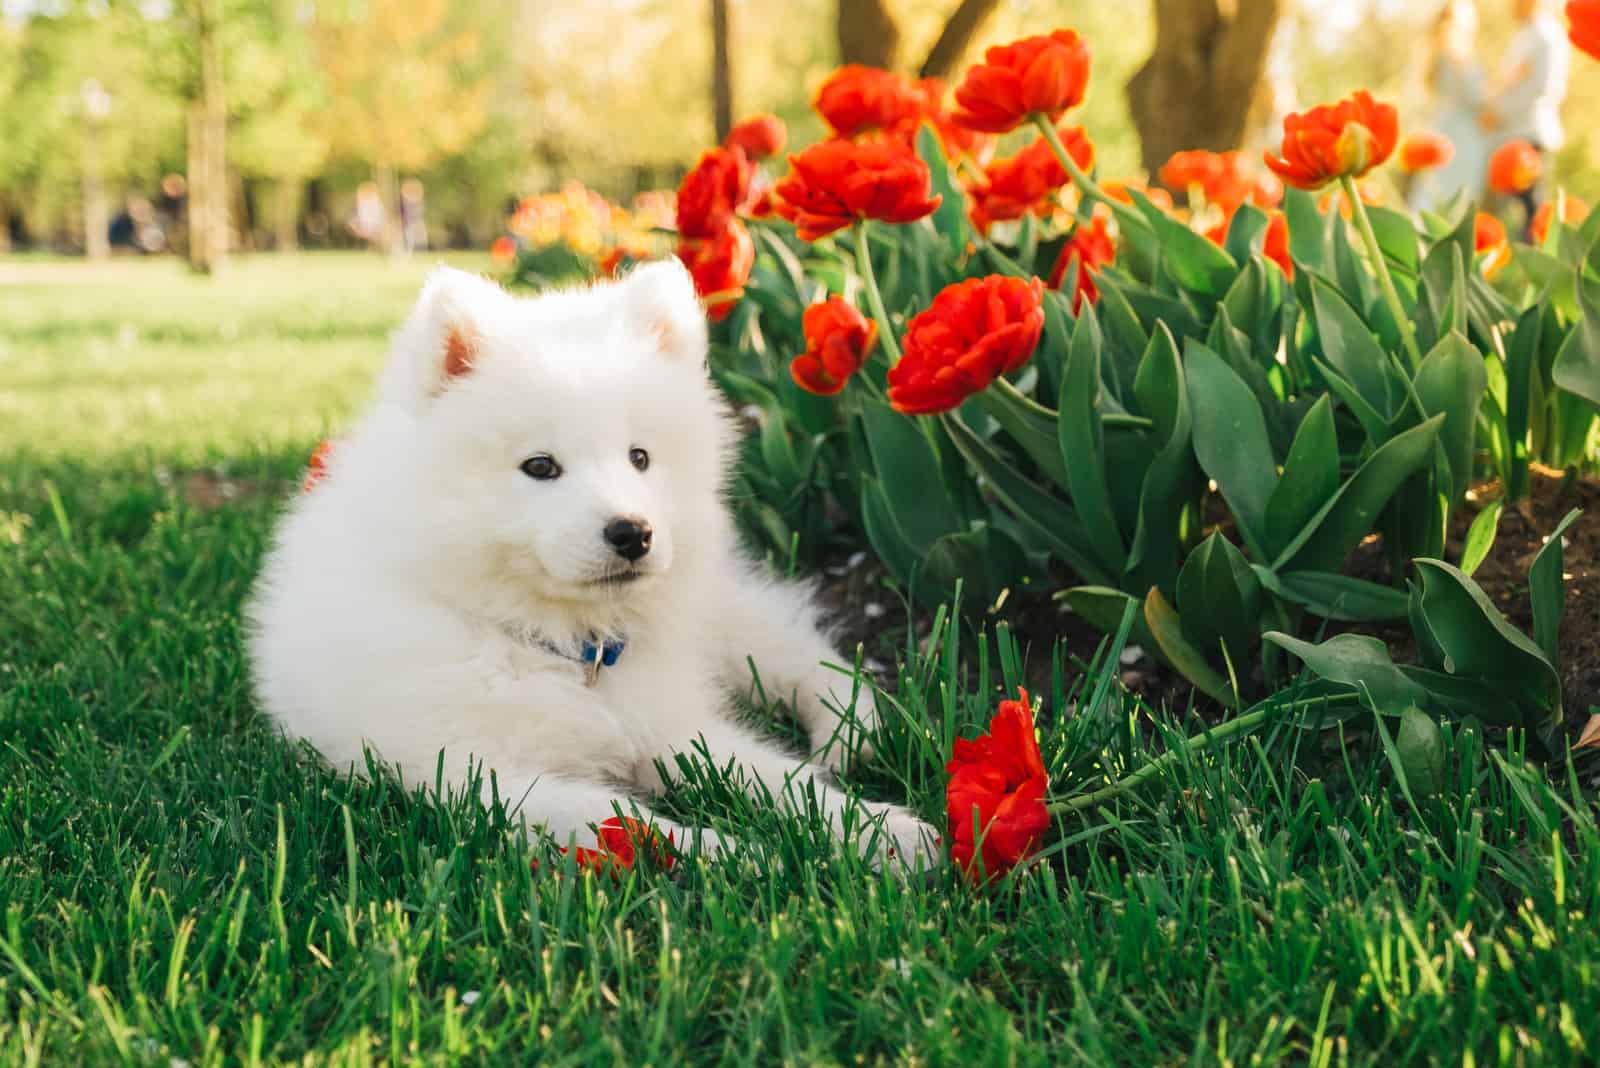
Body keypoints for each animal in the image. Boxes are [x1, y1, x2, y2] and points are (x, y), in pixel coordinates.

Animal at [248, 262, 934, 863]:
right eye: (540, 466)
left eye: (640, 457)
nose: (634, 534)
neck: (564, 647)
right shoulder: (483, 776)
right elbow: (631, 824)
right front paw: (744, 856)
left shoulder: (672, 726)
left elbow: (779, 780)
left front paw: (884, 833)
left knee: (794, 650)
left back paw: (848, 731)